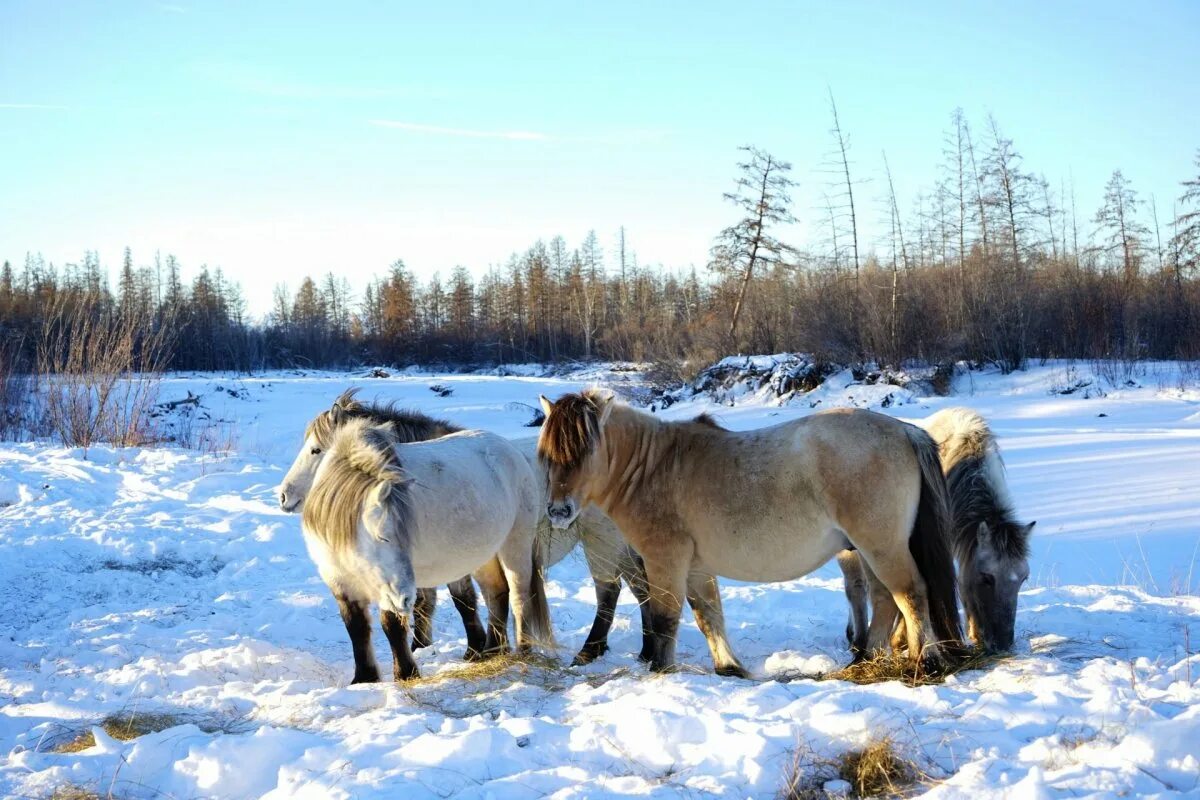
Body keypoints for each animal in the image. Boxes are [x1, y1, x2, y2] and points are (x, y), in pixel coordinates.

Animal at [280, 412, 549, 681]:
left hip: (515, 544)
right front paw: (365, 678)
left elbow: (393, 624)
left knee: (519, 593)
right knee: (496, 592)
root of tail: (511, 450)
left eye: (315, 449)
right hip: (482, 555)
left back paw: (522, 651)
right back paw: (492, 651)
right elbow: (356, 628)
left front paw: (406, 674)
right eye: (383, 537)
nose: (283, 495)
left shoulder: (392, 586)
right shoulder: (340, 581)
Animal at [540, 388, 960, 676]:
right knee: (885, 599)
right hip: (869, 550)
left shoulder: (664, 561)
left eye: (586, 451)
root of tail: (905, 431)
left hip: (881, 546)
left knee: (910, 593)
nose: (558, 511)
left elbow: (664, 618)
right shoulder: (695, 566)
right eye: (548, 455)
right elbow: (708, 614)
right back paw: (864, 660)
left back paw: (924, 660)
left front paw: (660, 669)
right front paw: (728, 667)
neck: (654, 469)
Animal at [844, 410, 1032, 652]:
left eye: (1023, 578)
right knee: (856, 588)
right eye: (986, 577)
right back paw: (857, 638)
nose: (1003, 643)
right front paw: (901, 639)